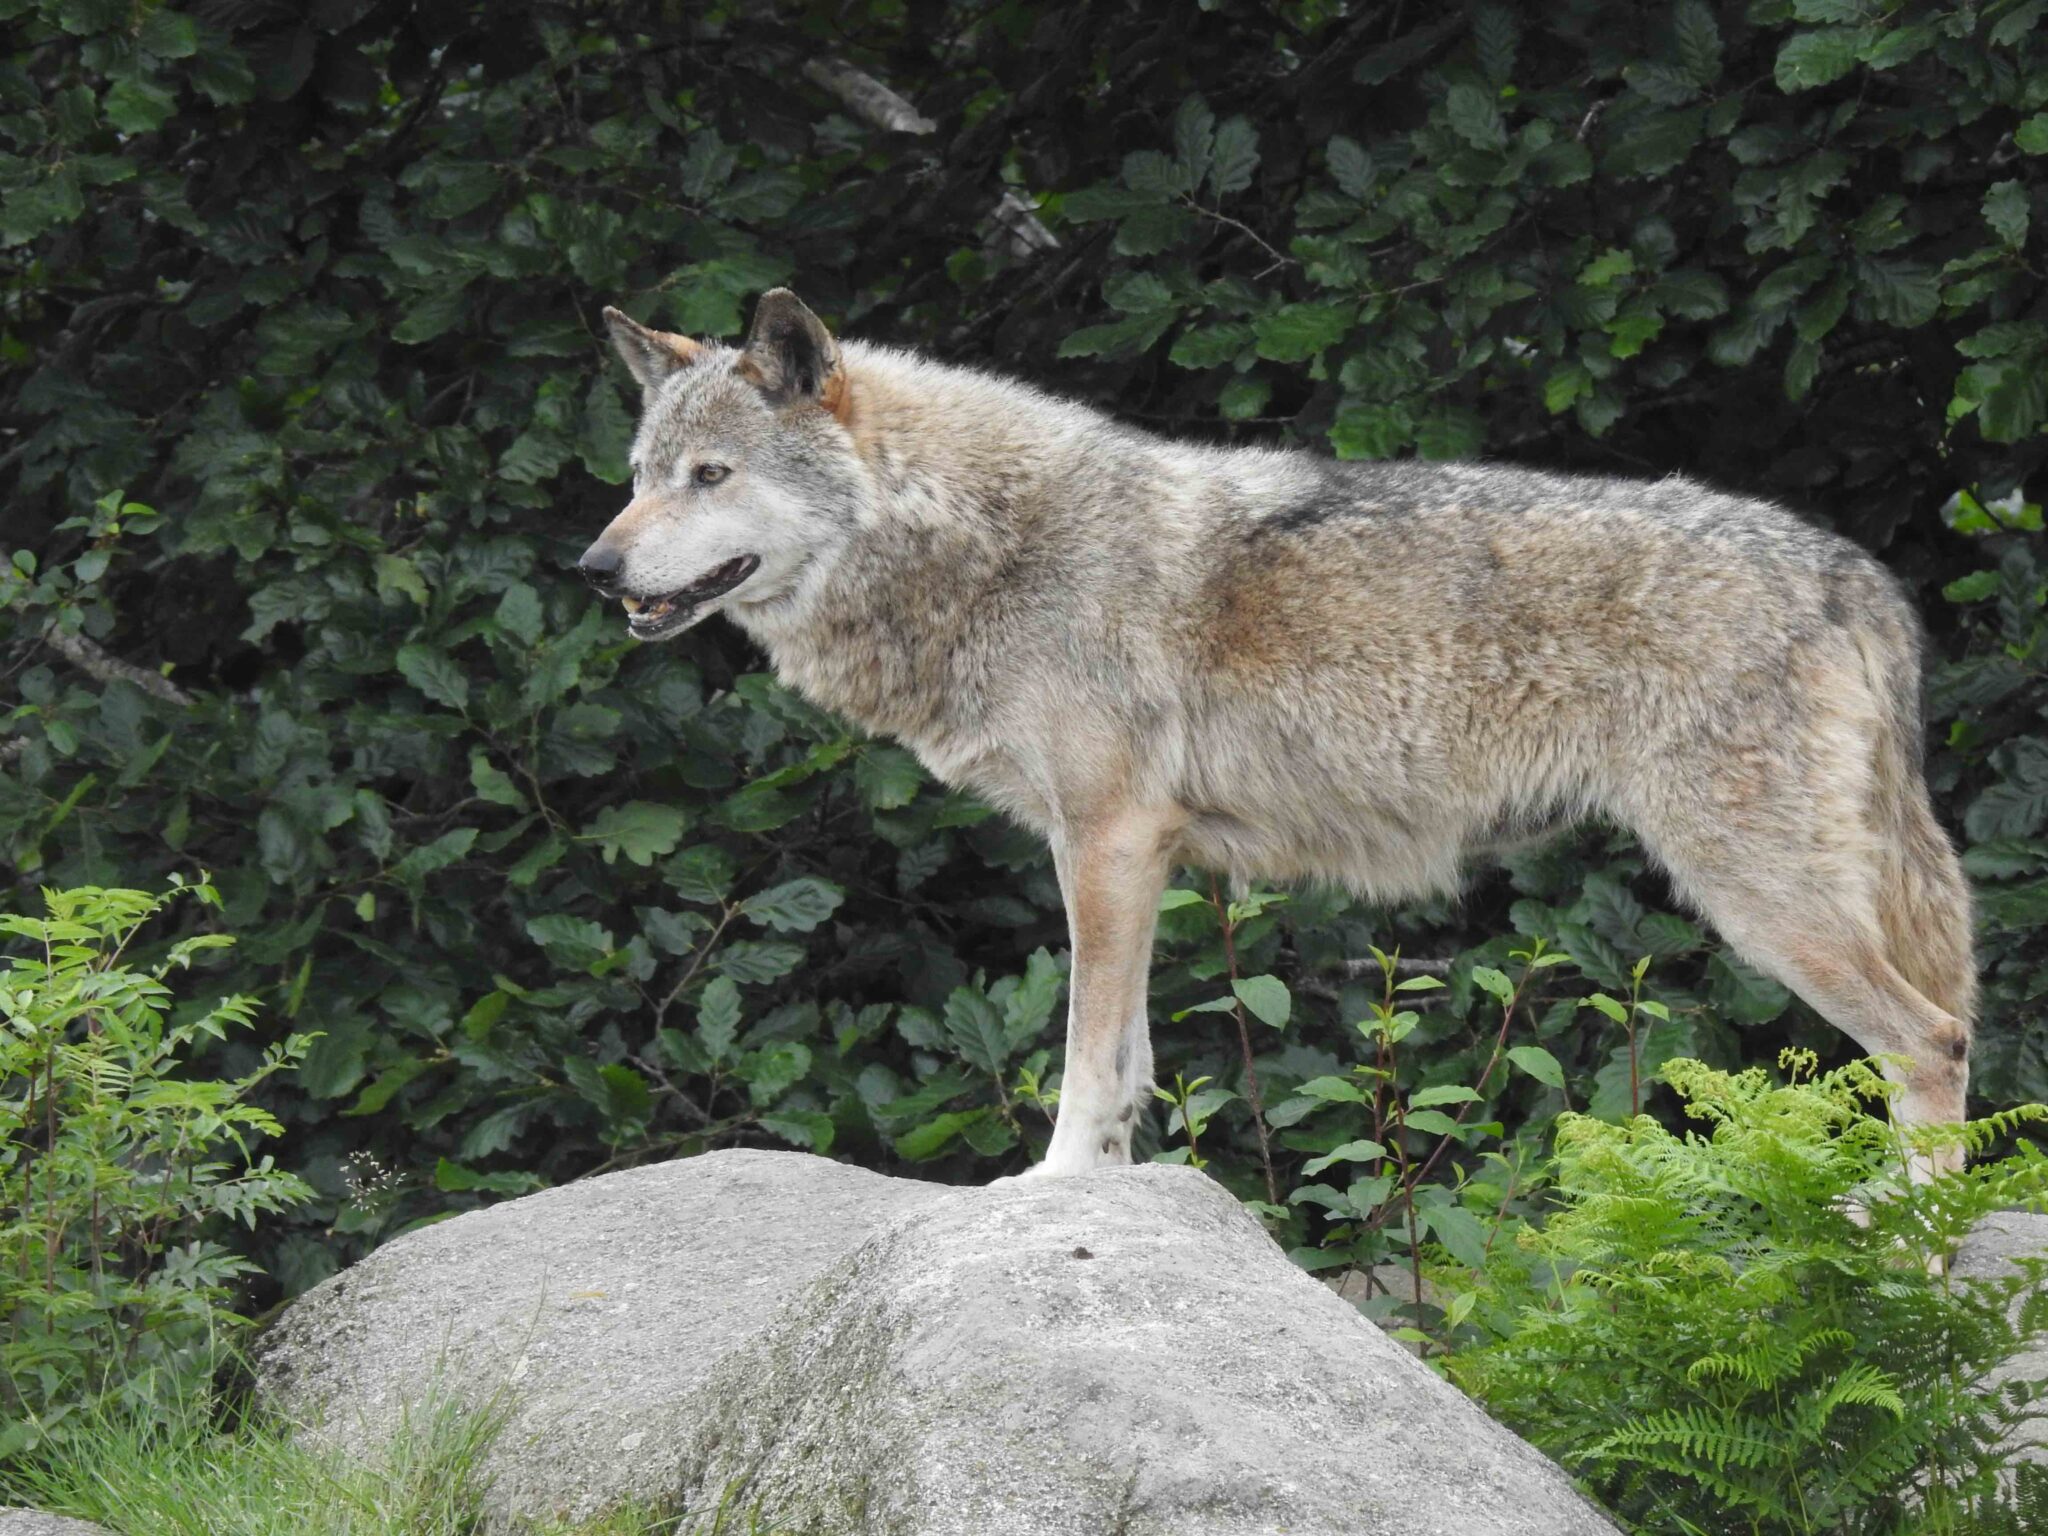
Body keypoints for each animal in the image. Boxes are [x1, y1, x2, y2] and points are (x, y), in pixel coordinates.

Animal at [577, 288, 1966, 1179]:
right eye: (639, 475)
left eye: (709, 477)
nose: (593, 568)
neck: (983, 546)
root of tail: (1855, 574)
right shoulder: (1128, 859)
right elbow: (1132, 1063)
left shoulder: (1106, 842)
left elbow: (1082, 1059)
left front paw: (1046, 1195)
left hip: (1758, 902)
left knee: (1931, 1042)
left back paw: (1909, 1251)